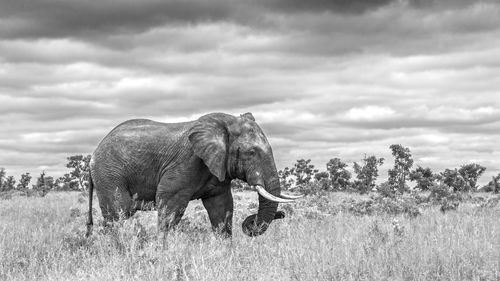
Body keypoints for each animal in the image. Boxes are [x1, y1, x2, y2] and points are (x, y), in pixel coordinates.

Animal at [85, 111, 300, 236]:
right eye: (251, 153)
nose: (282, 214)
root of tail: (93, 153)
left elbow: (221, 207)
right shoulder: (187, 161)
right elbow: (170, 204)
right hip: (110, 173)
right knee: (118, 212)